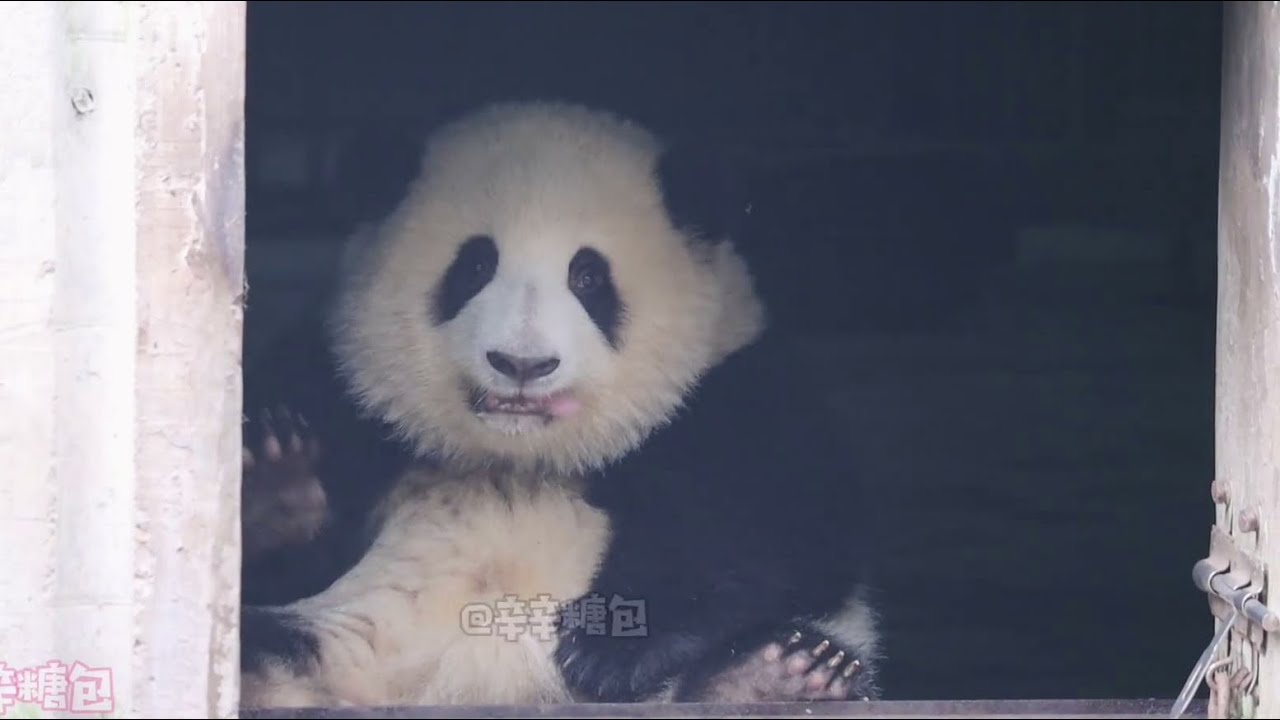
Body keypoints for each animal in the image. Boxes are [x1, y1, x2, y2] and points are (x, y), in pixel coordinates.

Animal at [238, 100, 883, 709]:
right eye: (475, 264)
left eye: (588, 276)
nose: (522, 364)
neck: (525, 455)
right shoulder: (339, 382)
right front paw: (275, 489)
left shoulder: (731, 383)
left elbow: (782, 519)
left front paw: (608, 648)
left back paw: (777, 675)